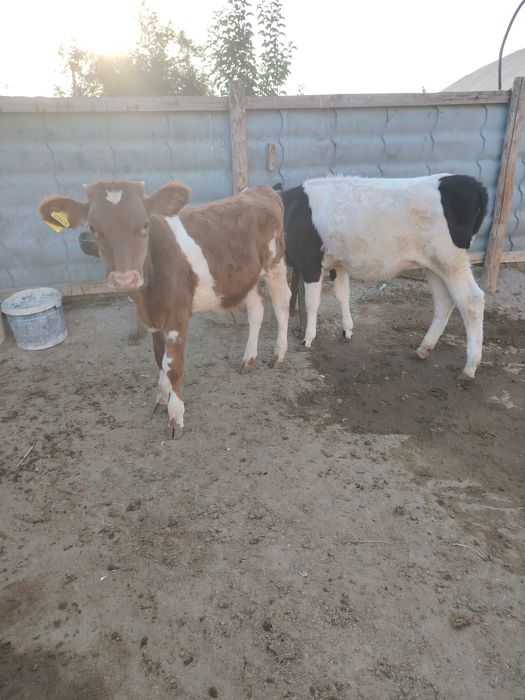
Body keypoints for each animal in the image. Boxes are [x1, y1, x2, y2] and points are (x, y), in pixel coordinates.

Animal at [39, 180, 291, 437]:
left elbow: (173, 366)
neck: (146, 297)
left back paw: (278, 355)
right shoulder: (154, 318)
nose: (124, 278)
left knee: (282, 304)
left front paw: (176, 417)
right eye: (93, 227)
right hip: (246, 275)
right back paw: (248, 360)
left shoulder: (177, 317)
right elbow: (159, 358)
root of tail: (262, 189)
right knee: (256, 308)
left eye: (145, 224)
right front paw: (162, 398)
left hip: (276, 264)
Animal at [277, 174, 488, 382]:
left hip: (451, 261)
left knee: (472, 301)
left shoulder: (310, 262)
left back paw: (469, 368)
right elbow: (342, 295)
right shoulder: (339, 263)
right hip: (434, 265)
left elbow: (312, 302)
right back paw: (423, 349)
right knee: (444, 301)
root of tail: (470, 182)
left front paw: (307, 338)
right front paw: (347, 330)